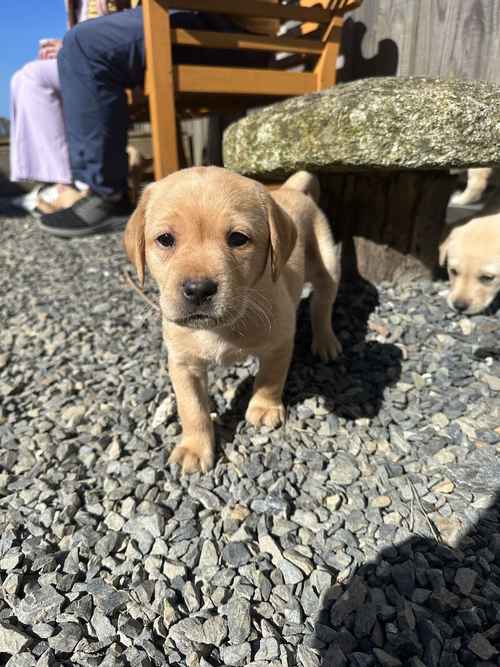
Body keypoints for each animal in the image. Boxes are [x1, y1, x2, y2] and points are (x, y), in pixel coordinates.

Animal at [125, 166, 344, 474]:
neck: (221, 328)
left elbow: (270, 378)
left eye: (238, 239)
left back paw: (325, 341)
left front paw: (264, 407)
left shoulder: (280, 341)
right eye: (165, 239)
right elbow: (192, 408)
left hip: (327, 263)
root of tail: (289, 189)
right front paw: (194, 448)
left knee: (322, 305)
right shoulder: (183, 363)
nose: (198, 289)